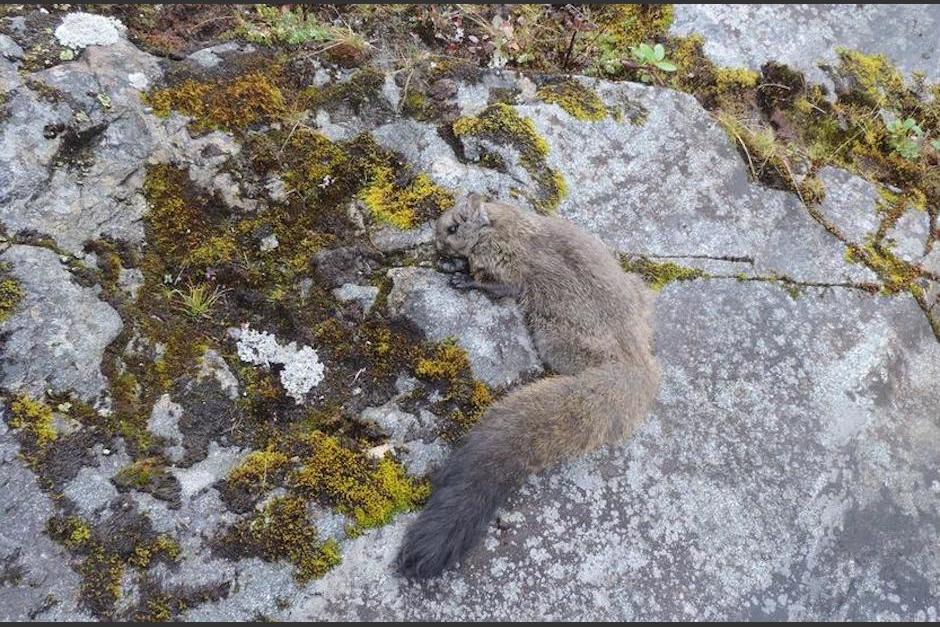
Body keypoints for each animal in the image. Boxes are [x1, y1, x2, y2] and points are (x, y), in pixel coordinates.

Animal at [396, 193, 661, 579]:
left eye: (453, 227)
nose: (435, 243)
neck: (504, 224)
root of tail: (636, 364)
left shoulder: (508, 265)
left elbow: (500, 285)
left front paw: (462, 277)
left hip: (553, 334)